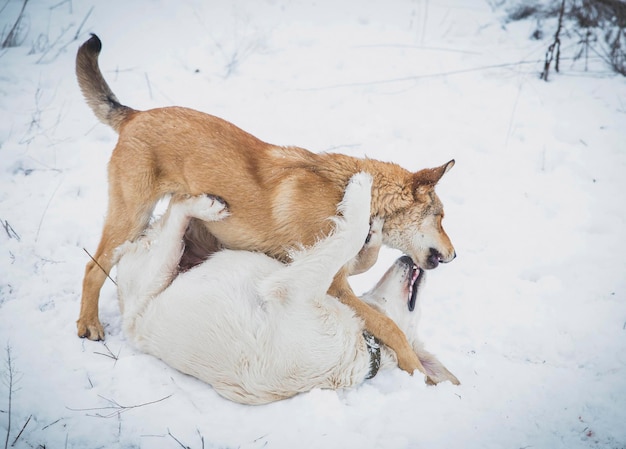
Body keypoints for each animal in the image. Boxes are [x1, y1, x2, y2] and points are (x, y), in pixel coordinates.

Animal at [75, 35, 456, 378]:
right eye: (440, 218)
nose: (454, 256)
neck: (341, 192)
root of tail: (135, 115)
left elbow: (366, 260)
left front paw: (372, 237)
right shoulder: (331, 283)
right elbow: (389, 326)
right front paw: (414, 367)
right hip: (131, 217)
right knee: (94, 268)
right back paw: (89, 323)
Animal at [114, 173, 456, 404]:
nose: (409, 262)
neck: (366, 341)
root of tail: (130, 323)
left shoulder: (292, 287)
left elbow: (347, 237)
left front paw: (361, 188)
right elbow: (351, 246)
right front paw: (372, 231)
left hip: (157, 268)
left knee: (175, 212)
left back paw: (204, 206)